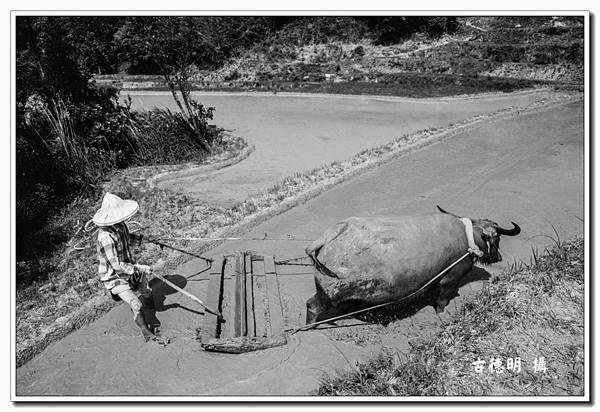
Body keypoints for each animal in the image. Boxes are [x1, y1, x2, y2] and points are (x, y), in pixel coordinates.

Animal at [304, 206, 520, 326]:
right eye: (497, 238)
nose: (498, 257)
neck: (467, 238)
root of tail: (324, 240)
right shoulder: (450, 279)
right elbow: (442, 302)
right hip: (328, 295)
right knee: (312, 306)